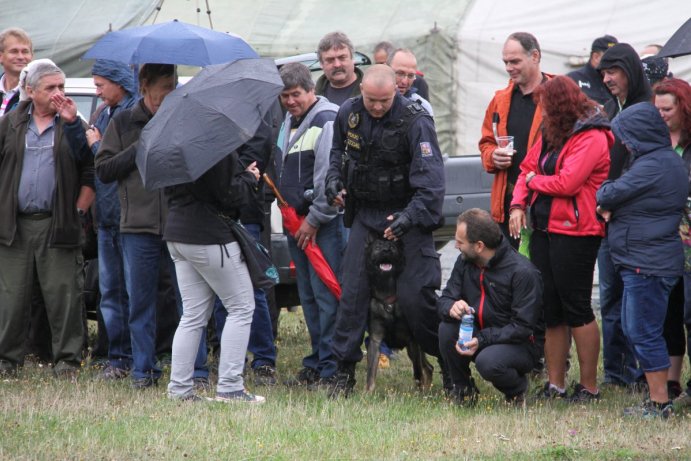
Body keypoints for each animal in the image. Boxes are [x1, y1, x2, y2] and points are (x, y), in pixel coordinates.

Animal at [362, 235, 432, 390]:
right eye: (377, 247)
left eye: (393, 248)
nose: (386, 250)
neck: (387, 293)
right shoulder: (375, 341)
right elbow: (370, 374)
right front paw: (368, 392)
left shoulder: (412, 342)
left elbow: (417, 372)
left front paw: (418, 391)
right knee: (428, 367)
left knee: (425, 367)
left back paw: (425, 390)